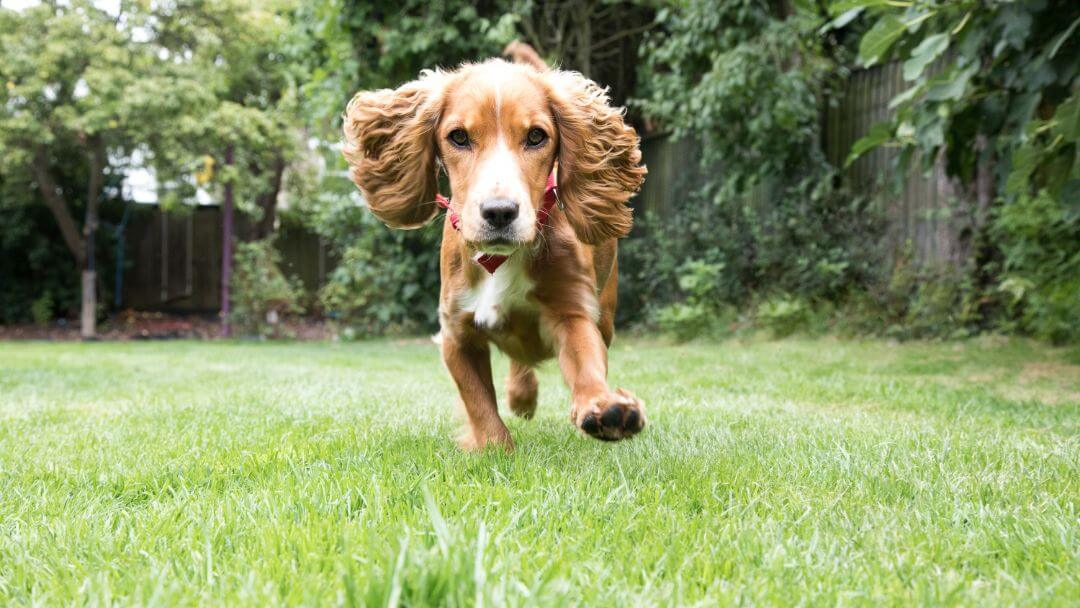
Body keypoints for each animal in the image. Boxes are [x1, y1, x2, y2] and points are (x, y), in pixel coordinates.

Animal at [343, 57, 648, 451]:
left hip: (606, 312)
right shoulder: (456, 333)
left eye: (536, 136)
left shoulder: (572, 311)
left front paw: (605, 408)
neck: (499, 261)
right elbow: (478, 402)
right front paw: (495, 448)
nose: (500, 212)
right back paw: (521, 396)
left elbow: (586, 364)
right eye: (458, 136)